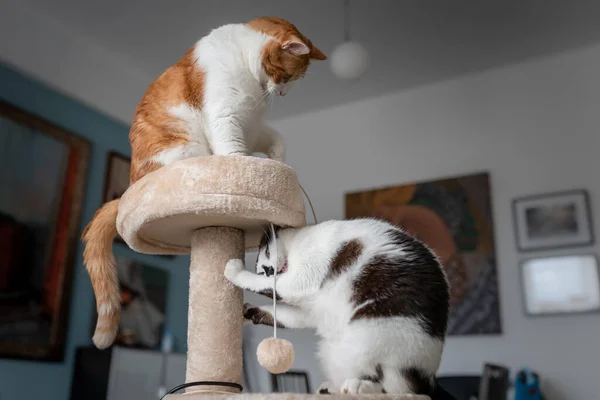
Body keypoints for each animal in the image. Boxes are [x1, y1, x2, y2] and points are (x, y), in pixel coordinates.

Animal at [82, 17, 326, 348]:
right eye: (286, 76)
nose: (284, 93)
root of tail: (132, 187)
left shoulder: (252, 125)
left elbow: (276, 139)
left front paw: (277, 163)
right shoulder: (225, 115)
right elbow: (233, 150)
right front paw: (245, 169)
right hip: (187, 148)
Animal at [225, 217, 450, 396]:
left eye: (267, 252)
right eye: (263, 270)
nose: (269, 270)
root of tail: (428, 379)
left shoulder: (303, 278)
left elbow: (264, 284)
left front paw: (234, 270)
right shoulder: (306, 311)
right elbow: (279, 313)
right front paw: (245, 313)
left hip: (369, 335)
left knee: (396, 388)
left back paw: (358, 387)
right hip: (333, 350)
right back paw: (329, 388)